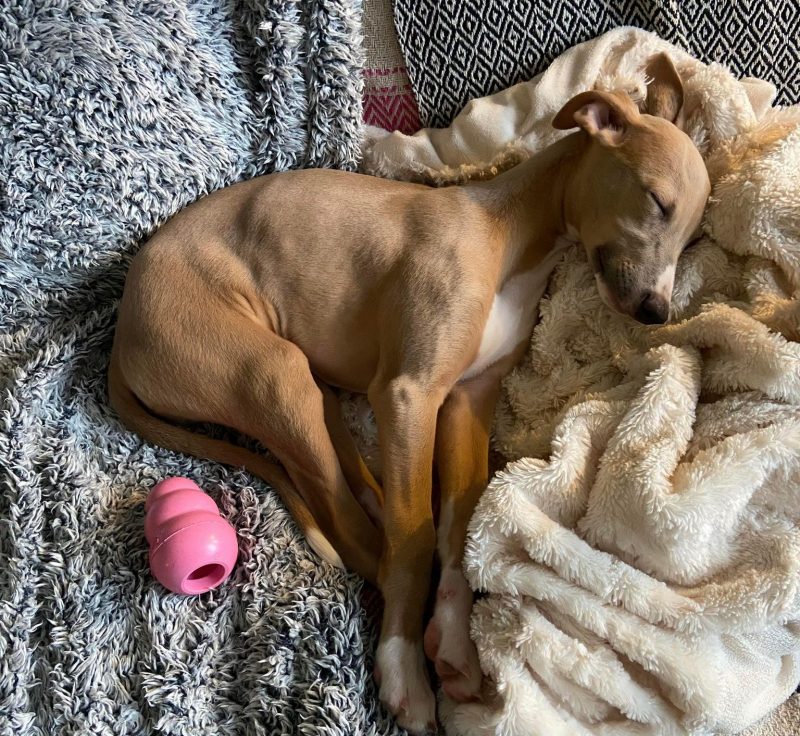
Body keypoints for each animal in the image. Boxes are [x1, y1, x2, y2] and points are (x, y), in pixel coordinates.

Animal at [111, 56, 708, 732]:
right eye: (657, 201)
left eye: (693, 238)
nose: (657, 312)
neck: (508, 235)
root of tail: (121, 329)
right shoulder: (409, 394)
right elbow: (418, 535)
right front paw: (404, 667)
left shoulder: (465, 402)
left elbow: (458, 525)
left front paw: (453, 644)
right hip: (271, 371)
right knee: (350, 520)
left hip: (304, 382)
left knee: (334, 476)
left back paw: (377, 507)